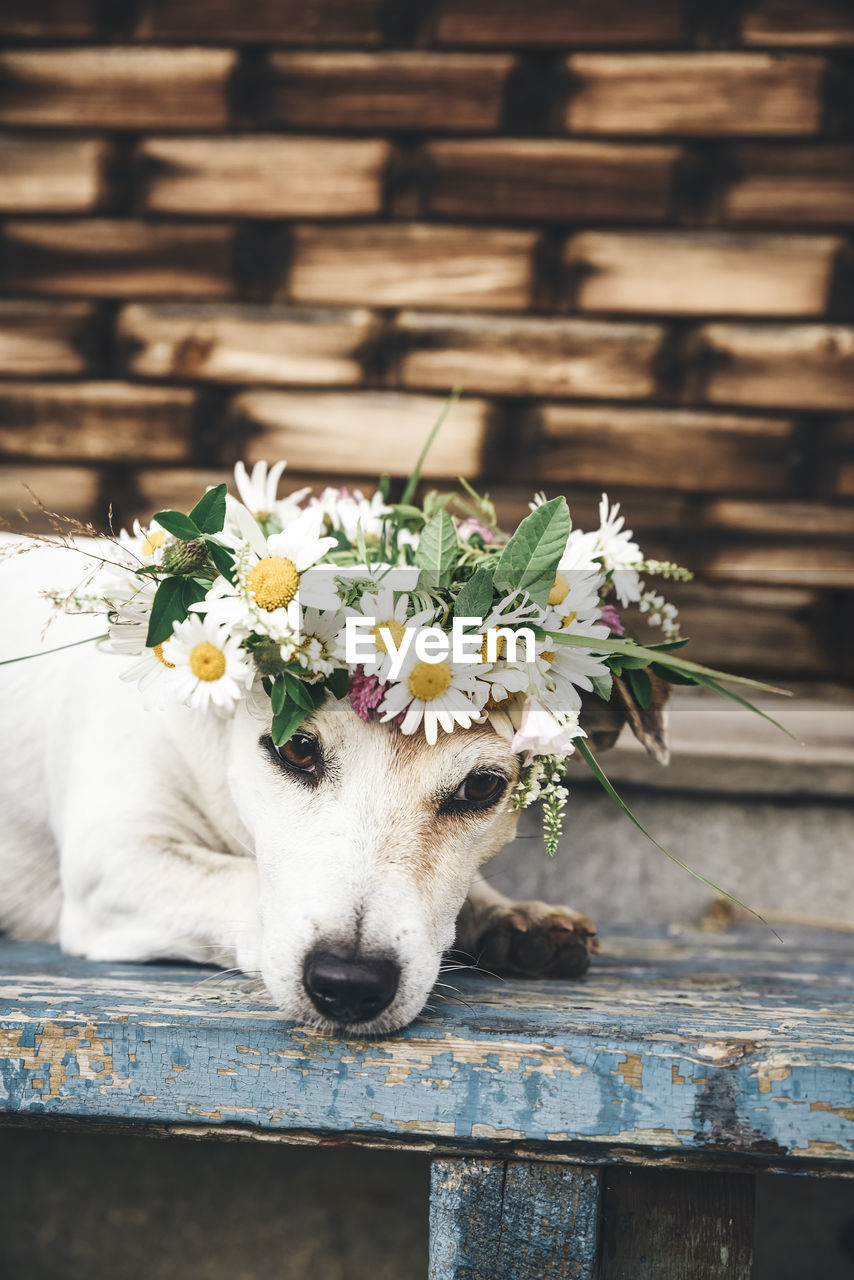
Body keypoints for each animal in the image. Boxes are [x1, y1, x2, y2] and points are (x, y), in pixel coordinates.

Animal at [0, 535, 665, 1034]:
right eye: (296, 748)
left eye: (481, 788)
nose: (350, 984)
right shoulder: (114, 865)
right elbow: (239, 881)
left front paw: (512, 917)